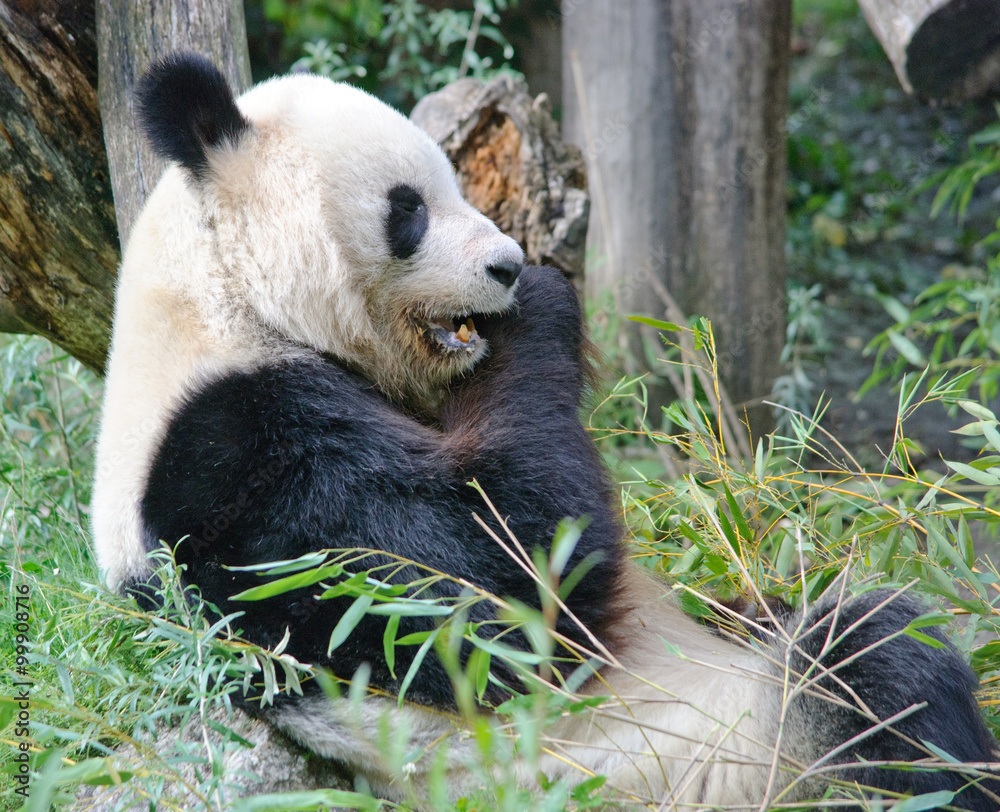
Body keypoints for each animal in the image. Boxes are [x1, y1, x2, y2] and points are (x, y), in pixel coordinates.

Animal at [92, 52, 999, 809]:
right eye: (408, 208)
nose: (505, 263)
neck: (228, 300)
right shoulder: (239, 465)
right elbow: (492, 593)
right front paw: (541, 300)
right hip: (722, 763)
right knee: (875, 676)